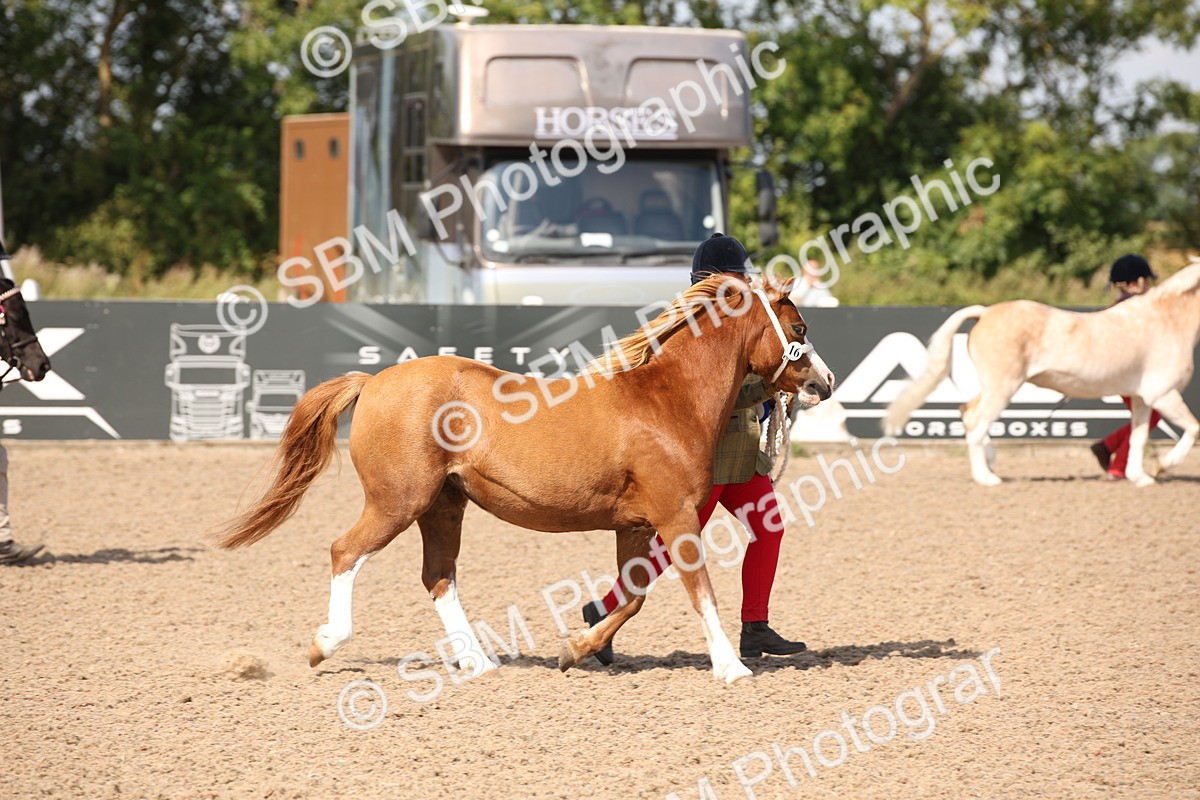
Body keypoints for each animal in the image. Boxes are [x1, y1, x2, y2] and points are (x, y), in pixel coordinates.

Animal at [213, 275, 835, 684]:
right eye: (799, 326)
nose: (825, 383)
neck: (666, 400)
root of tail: (374, 381)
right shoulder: (676, 515)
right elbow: (697, 589)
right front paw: (730, 667)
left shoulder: (635, 525)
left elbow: (632, 596)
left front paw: (575, 650)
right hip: (398, 502)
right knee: (346, 551)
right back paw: (325, 644)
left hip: (443, 506)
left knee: (438, 577)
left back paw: (477, 661)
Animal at [884, 259, 1200, 486]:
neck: (1166, 320)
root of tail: (985, 312)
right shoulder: (1163, 394)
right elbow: (1194, 428)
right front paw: (1163, 465)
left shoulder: (1142, 398)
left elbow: (1139, 437)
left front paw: (1141, 478)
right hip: (1003, 386)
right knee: (976, 420)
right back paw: (986, 478)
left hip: (994, 387)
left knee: (968, 412)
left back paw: (991, 463)